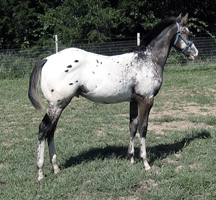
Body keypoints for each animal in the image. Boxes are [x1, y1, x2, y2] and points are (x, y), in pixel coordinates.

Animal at [28, 13, 199, 180]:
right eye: (187, 32)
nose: (195, 53)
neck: (148, 60)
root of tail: (47, 59)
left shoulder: (134, 101)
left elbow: (133, 126)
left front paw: (131, 160)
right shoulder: (146, 100)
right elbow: (143, 128)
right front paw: (146, 163)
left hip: (59, 106)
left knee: (51, 132)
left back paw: (56, 169)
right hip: (56, 105)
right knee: (44, 129)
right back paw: (40, 173)